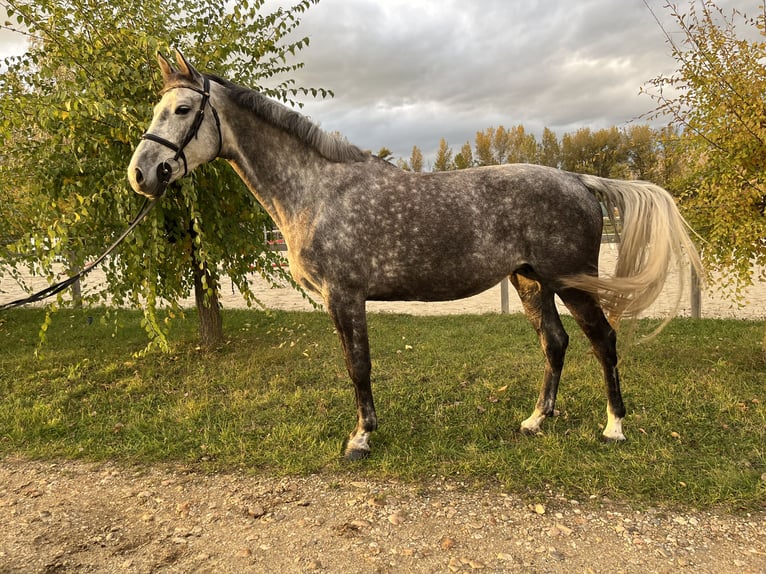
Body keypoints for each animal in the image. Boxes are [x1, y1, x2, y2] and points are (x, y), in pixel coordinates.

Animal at [128, 51, 703, 461]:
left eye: (183, 110)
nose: (141, 174)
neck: (318, 190)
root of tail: (579, 180)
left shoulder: (345, 297)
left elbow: (358, 366)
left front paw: (361, 439)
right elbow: (355, 366)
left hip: (572, 283)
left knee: (603, 340)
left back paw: (614, 427)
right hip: (529, 281)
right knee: (555, 343)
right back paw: (536, 421)